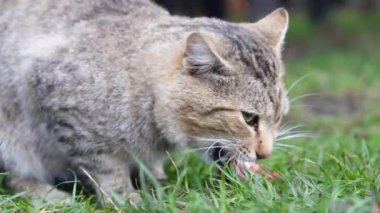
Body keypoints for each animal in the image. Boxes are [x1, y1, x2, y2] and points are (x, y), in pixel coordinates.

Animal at [0, 0, 290, 204]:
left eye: (279, 117)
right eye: (249, 118)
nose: (266, 154)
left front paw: (154, 178)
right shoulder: (62, 106)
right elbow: (105, 166)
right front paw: (124, 197)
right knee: (15, 176)